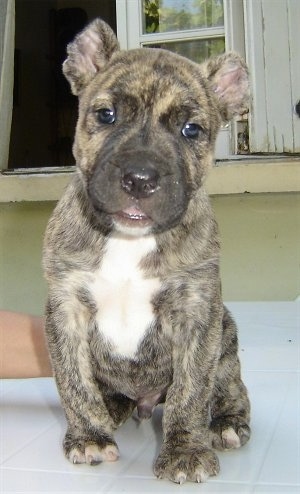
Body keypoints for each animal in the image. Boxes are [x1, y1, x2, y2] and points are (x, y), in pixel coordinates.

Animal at [43, 18, 251, 482]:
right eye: (106, 115)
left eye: (191, 130)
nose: (140, 178)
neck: (129, 240)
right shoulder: (66, 310)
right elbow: (74, 381)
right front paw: (88, 436)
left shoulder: (196, 314)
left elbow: (191, 391)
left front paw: (186, 451)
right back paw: (113, 408)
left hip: (227, 333)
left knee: (229, 385)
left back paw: (226, 422)